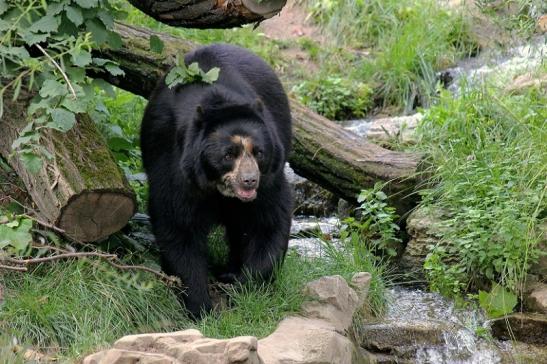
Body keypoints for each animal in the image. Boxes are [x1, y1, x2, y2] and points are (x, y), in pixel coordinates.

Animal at [143, 44, 294, 320]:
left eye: (259, 152)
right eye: (228, 155)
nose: (249, 181)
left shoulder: (269, 178)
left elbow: (268, 221)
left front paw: (246, 292)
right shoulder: (174, 167)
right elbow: (178, 227)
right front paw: (201, 307)